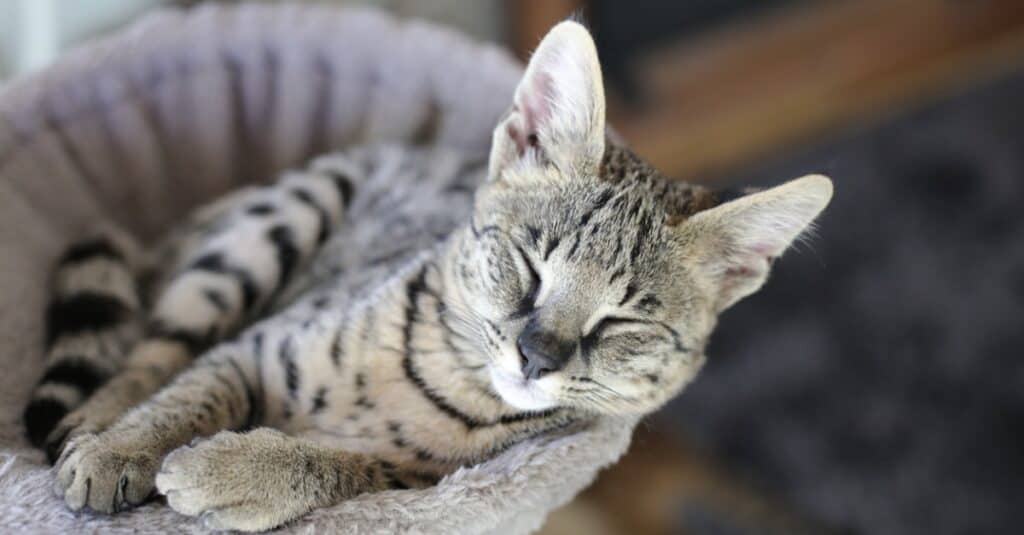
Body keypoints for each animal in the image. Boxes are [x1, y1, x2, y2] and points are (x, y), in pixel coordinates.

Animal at [25, 19, 831, 528]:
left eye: (622, 321)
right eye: (530, 265)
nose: (536, 356)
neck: (444, 373)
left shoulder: (422, 481)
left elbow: (333, 464)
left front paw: (234, 472)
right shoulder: (253, 344)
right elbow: (187, 392)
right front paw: (124, 446)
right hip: (276, 222)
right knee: (153, 350)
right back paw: (94, 421)